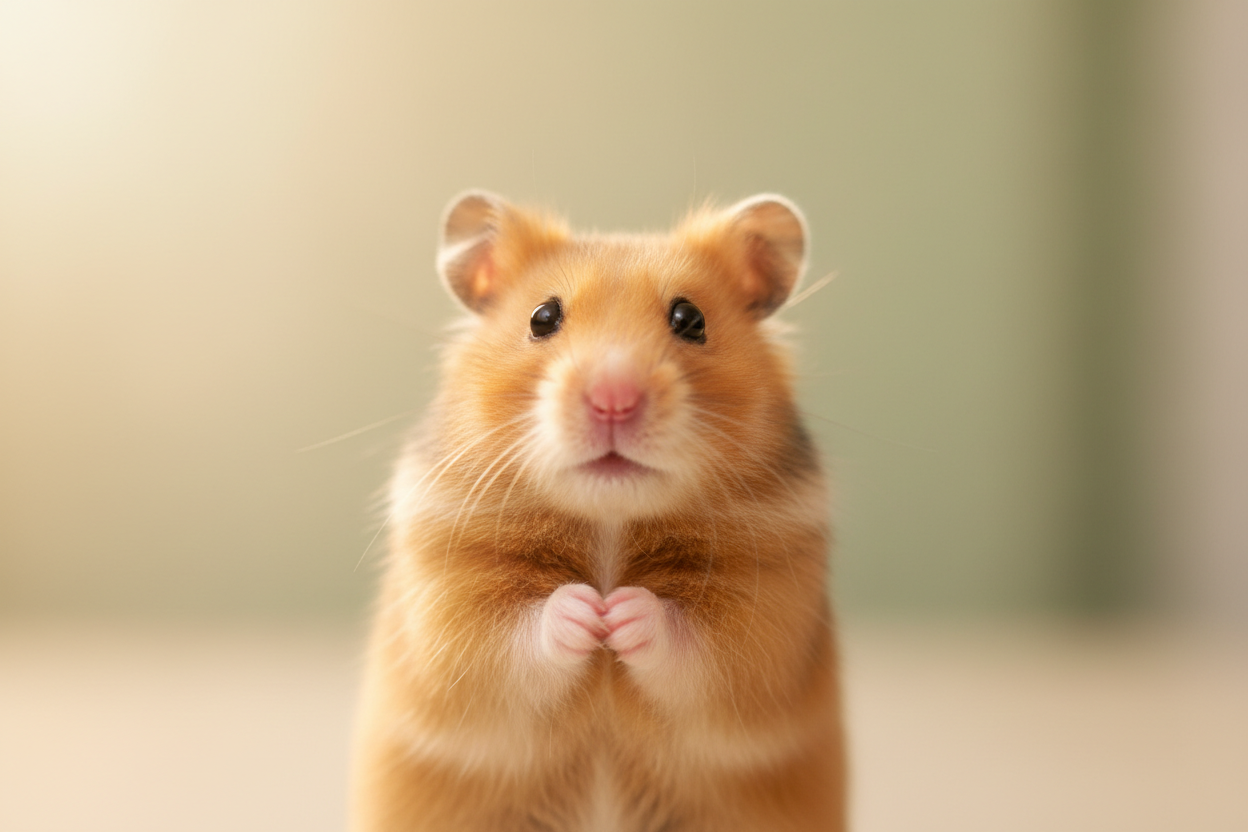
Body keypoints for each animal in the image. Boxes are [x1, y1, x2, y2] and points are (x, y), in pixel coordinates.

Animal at [351, 192, 845, 832]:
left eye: (690, 319)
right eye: (542, 317)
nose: (614, 399)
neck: (609, 516)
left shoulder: (769, 620)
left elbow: (700, 650)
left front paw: (623, 612)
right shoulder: (447, 611)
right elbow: (511, 637)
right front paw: (589, 612)